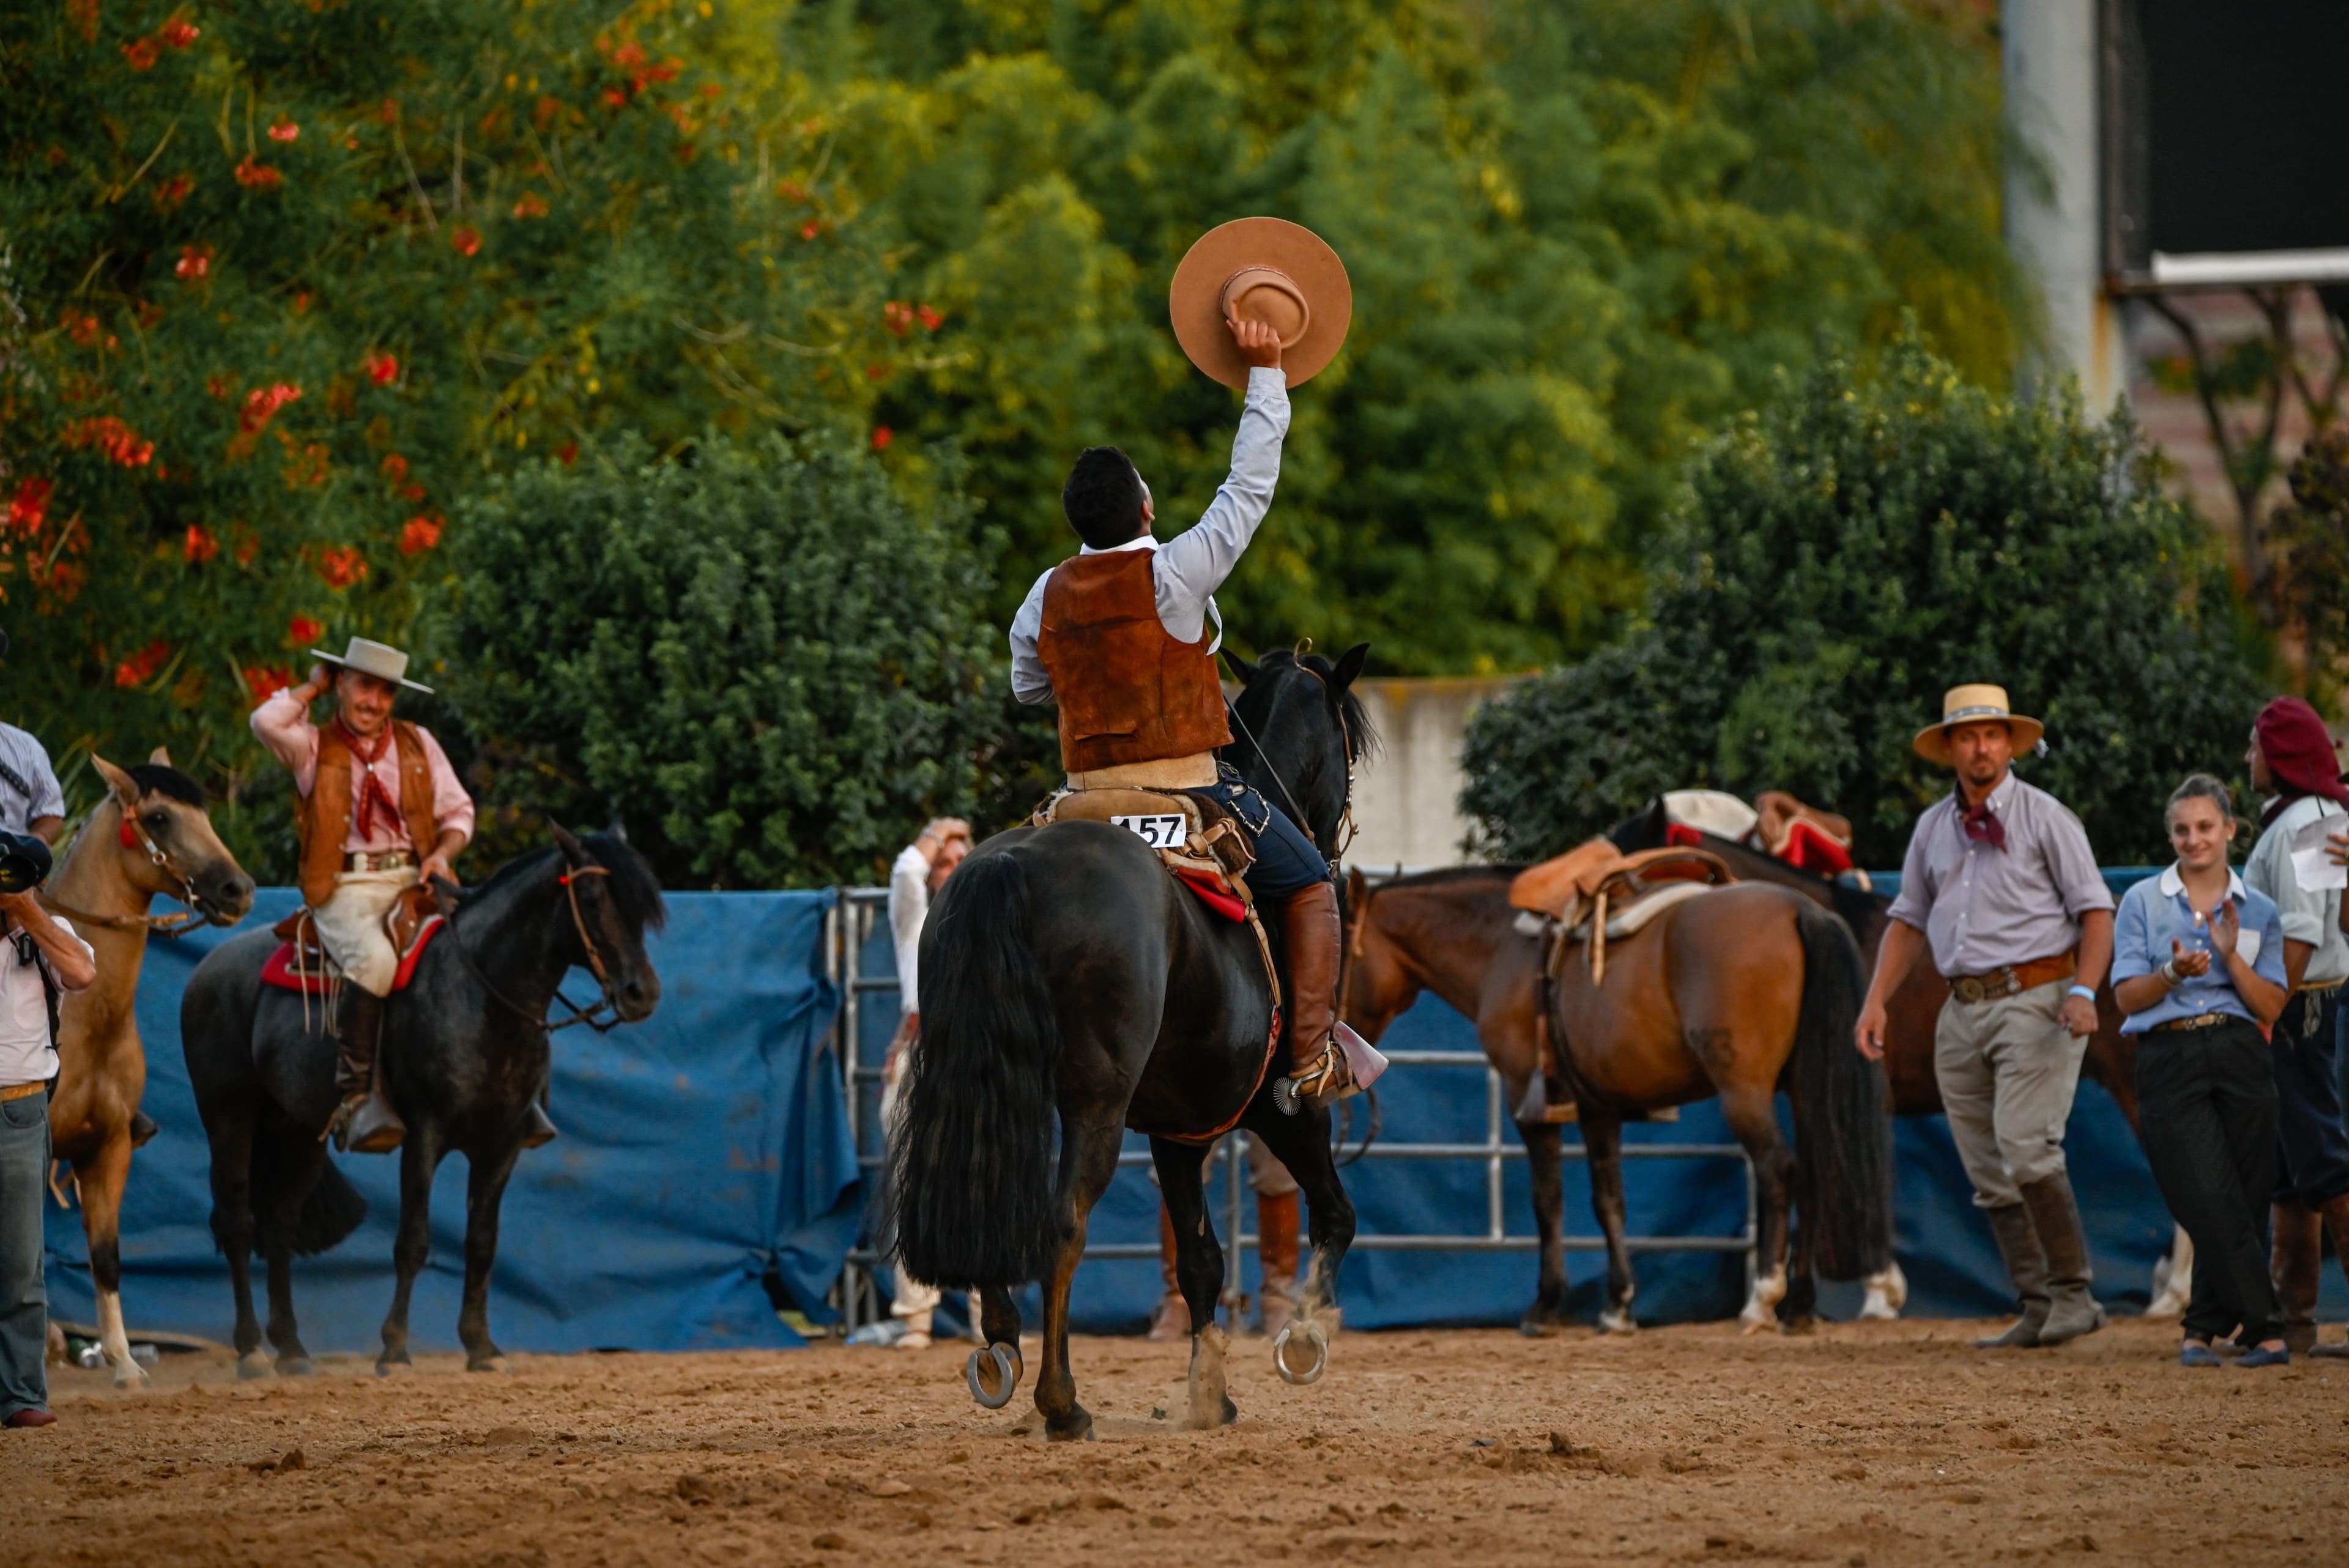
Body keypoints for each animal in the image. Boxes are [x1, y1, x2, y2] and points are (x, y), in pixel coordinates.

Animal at [40, 757, 254, 1382]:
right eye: (159, 817)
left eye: (204, 813)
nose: (238, 889)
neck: (85, 1015)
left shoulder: (109, 1147)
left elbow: (106, 1257)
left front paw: (124, 1363)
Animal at [177, 827, 662, 1382]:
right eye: (593, 898)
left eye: (642, 909)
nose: (642, 993)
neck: (479, 996)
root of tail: (207, 969)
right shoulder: (424, 1137)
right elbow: (414, 1240)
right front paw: (394, 1348)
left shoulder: (501, 1145)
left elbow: (482, 1242)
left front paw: (481, 1346)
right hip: (229, 1118)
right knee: (238, 1223)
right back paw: (251, 1350)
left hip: (298, 1133)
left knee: (280, 1226)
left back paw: (293, 1349)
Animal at [892, 644, 1371, 1438]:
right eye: (1349, 748)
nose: (1333, 847)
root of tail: (1010, 864)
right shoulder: (1283, 1110)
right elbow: (1337, 1213)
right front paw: (1303, 1335)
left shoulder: (1180, 1129)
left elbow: (1201, 1258)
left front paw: (1211, 1394)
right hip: (1097, 1104)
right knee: (1062, 1221)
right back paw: (1062, 1400)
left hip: (990, 1079)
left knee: (989, 1182)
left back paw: (1001, 1348)